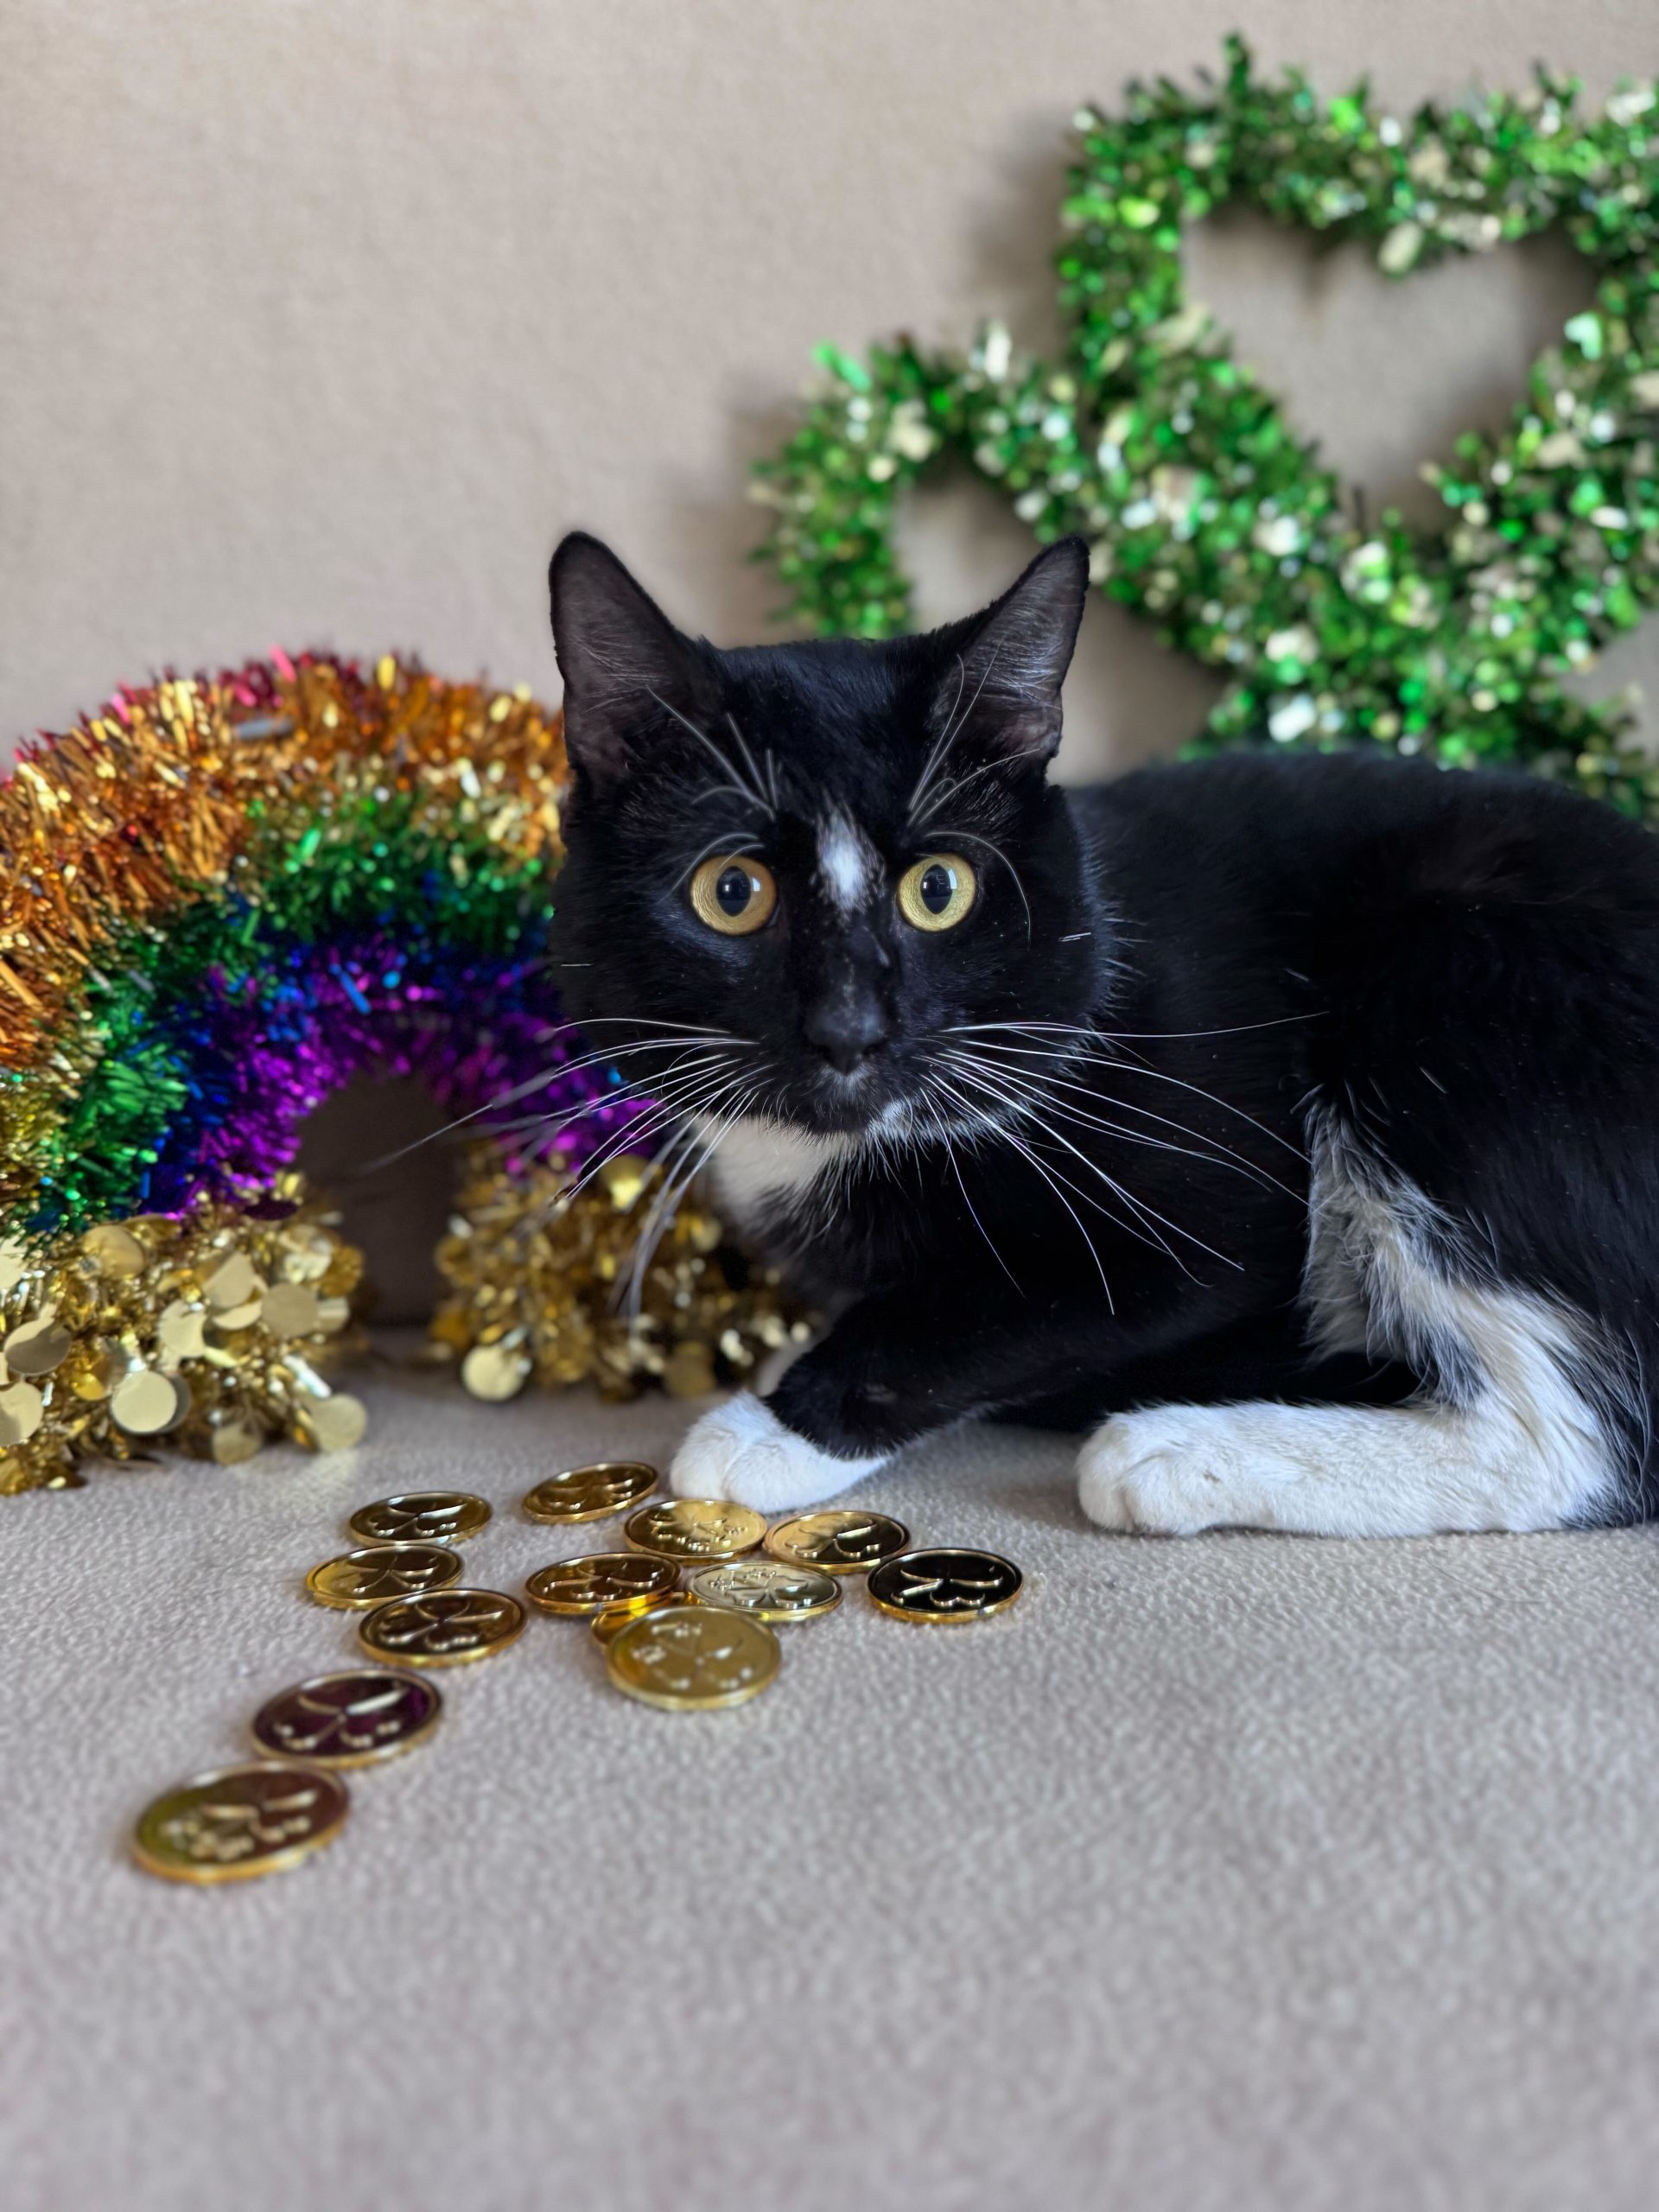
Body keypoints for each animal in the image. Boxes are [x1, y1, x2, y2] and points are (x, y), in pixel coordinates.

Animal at [544, 529, 1659, 1536]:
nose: (848, 1030)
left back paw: (1179, 1450)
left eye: (939, 889)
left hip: (1444, 968)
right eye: (732, 892)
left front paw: (778, 1423)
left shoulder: (1201, 1172)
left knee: (1588, 1444)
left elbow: (995, 1303)